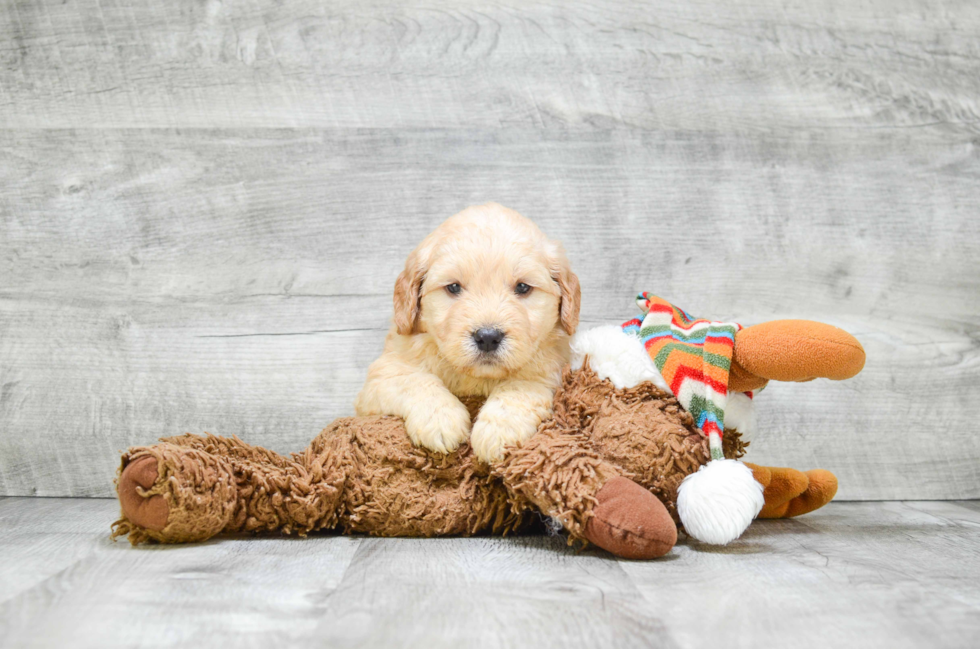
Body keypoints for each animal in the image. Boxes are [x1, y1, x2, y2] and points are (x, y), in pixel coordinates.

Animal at [354, 202, 580, 460]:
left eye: (523, 287)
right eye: (453, 287)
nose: (488, 337)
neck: (476, 378)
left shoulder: (550, 371)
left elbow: (519, 387)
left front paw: (498, 430)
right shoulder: (381, 376)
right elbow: (413, 380)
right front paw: (440, 419)